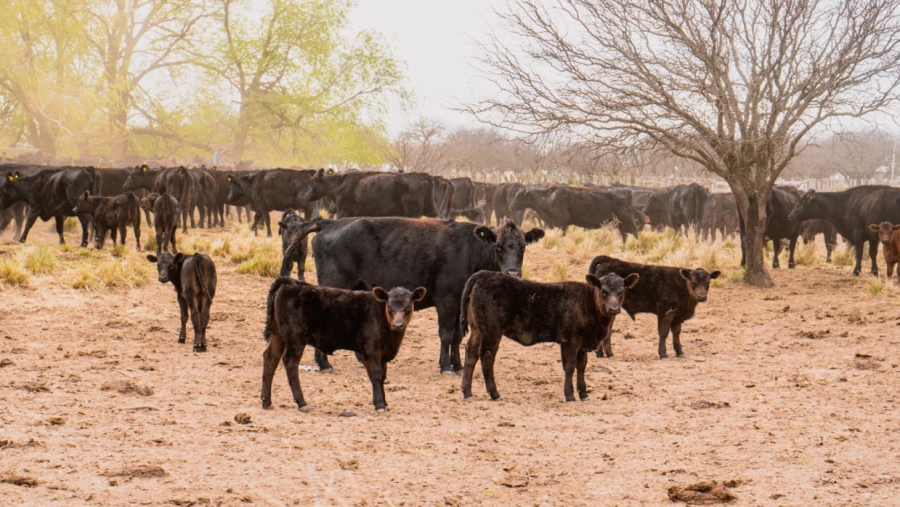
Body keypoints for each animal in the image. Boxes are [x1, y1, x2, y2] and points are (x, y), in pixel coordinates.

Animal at [262, 278, 428, 412]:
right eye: (390, 308)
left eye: (408, 308)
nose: (398, 325)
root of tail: (290, 283)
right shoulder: (371, 350)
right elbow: (376, 374)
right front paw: (380, 405)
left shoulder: (383, 354)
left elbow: (383, 377)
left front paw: (385, 403)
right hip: (295, 339)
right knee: (290, 363)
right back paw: (301, 403)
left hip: (278, 335)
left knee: (270, 358)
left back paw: (266, 401)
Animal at [282, 216, 544, 376]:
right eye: (497, 246)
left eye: (522, 246)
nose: (513, 273)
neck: (469, 249)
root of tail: (330, 223)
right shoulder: (446, 300)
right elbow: (446, 334)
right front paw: (446, 366)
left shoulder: (460, 302)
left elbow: (457, 336)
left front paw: (457, 365)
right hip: (334, 284)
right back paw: (324, 364)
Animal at [458, 272, 640, 402]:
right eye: (604, 291)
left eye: (621, 292)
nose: (613, 308)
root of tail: (485, 274)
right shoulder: (570, 340)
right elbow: (570, 366)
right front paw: (570, 395)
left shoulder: (582, 343)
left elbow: (582, 366)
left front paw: (583, 394)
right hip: (492, 331)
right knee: (486, 358)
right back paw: (495, 393)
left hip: (477, 330)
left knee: (471, 354)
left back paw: (467, 392)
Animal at [588, 256, 720, 360]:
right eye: (693, 283)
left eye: (708, 284)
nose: (702, 297)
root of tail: (610, 259)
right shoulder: (665, 312)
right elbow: (664, 332)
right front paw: (663, 353)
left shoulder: (677, 316)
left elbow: (676, 332)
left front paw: (680, 352)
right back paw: (602, 353)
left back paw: (606, 353)